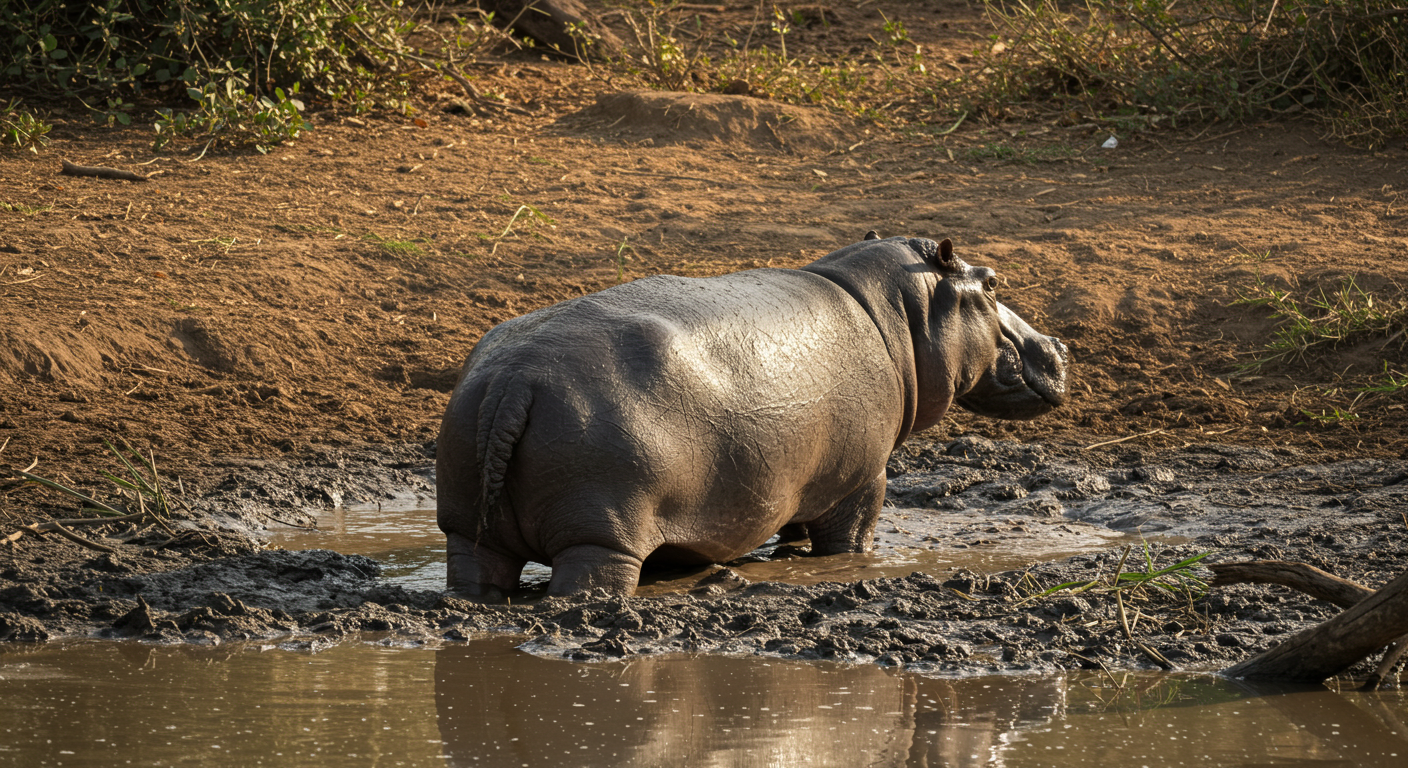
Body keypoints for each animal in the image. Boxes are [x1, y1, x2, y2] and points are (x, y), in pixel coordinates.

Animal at [436, 234, 1069, 598]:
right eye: (992, 283)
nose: (1059, 346)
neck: (896, 311)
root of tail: (514, 381)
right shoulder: (863, 477)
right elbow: (851, 540)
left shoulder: (800, 474)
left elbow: (793, 526)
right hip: (601, 535)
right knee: (591, 579)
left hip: (466, 525)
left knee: (475, 565)